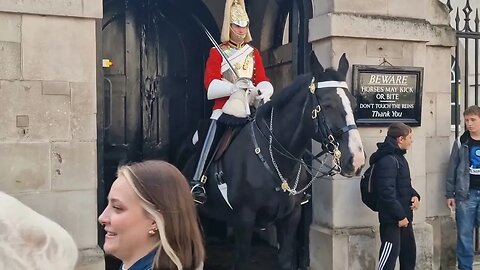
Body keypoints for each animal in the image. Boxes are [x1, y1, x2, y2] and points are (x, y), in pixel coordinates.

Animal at [183, 52, 364, 270]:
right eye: (327, 104)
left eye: (353, 103)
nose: (356, 160)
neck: (277, 161)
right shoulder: (244, 219)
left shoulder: (290, 218)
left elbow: (285, 260)